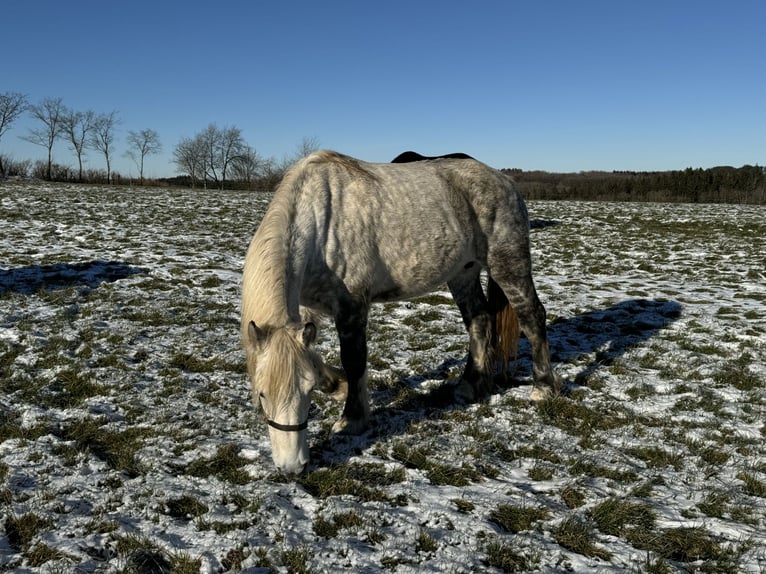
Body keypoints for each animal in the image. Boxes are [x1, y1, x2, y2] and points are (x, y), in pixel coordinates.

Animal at [243, 151, 560, 474]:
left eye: (307, 392)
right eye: (261, 393)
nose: (292, 466)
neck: (321, 223)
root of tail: (505, 181)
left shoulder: (351, 305)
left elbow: (354, 361)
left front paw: (352, 419)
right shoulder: (307, 309)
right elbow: (318, 359)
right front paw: (338, 387)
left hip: (508, 265)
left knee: (533, 317)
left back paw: (543, 388)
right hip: (463, 273)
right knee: (479, 320)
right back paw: (469, 386)